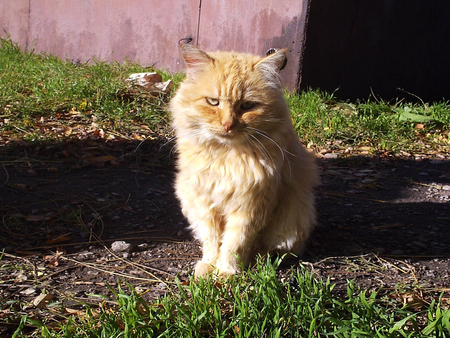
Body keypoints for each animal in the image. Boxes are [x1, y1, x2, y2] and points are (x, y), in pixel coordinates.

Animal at [170, 44, 320, 278]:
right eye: (213, 102)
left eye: (248, 105)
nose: (228, 125)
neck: (225, 157)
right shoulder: (204, 201)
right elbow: (212, 240)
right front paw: (209, 267)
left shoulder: (251, 205)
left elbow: (234, 243)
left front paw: (226, 272)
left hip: (293, 220)